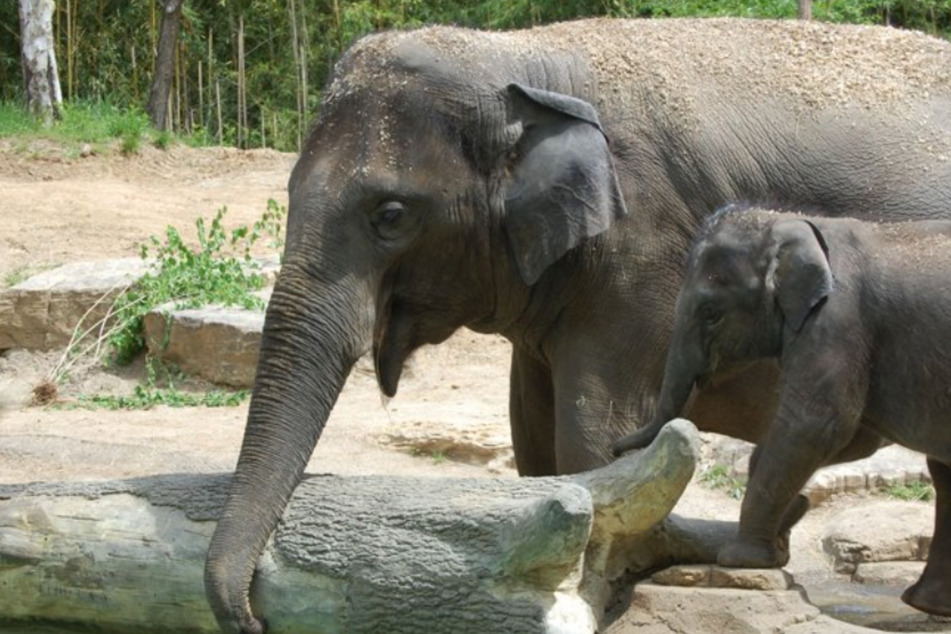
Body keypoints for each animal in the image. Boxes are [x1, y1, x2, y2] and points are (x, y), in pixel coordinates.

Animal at [612, 205, 951, 616]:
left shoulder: (836, 320)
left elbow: (817, 425)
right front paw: (775, 545)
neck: (791, 222)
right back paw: (926, 605)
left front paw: (740, 559)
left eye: (711, 312)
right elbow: (854, 437)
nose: (614, 449)